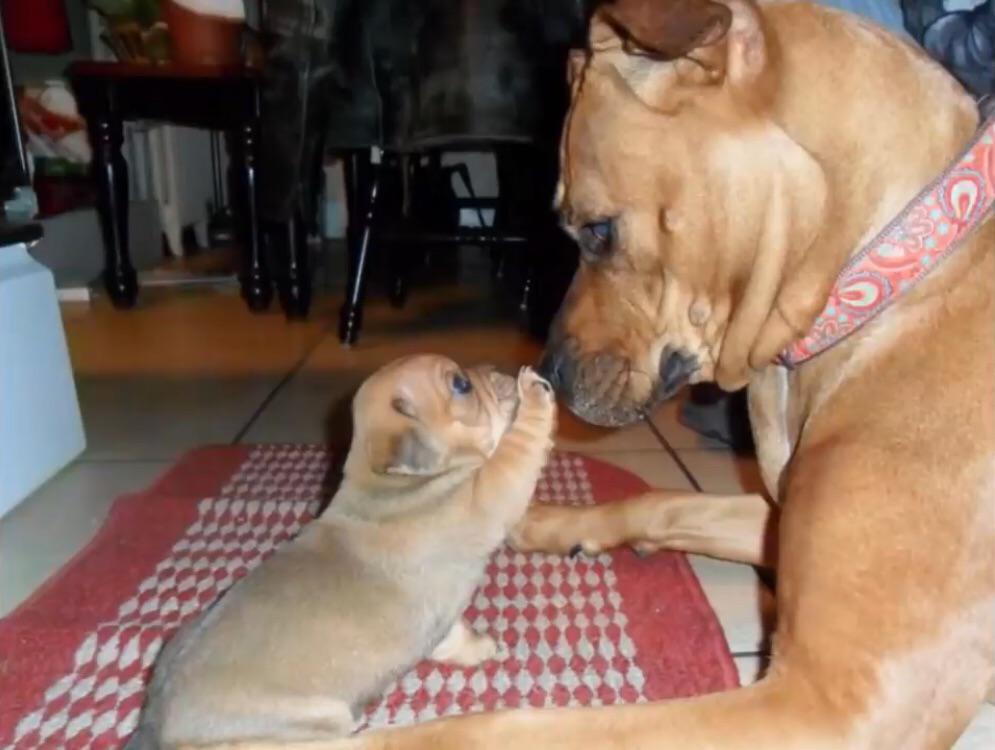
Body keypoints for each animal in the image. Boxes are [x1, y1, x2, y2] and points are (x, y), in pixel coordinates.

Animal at [122, 356, 552, 748]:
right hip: (315, 719)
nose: (493, 368)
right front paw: (536, 396)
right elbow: (518, 449)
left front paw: (478, 648)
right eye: (461, 384)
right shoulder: (491, 492)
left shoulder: (440, 615)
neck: (391, 486)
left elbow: (453, 635)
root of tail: (155, 730)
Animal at [193, 1, 988, 750]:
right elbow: (661, 501)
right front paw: (550, 521)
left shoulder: (835, 702)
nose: (546, 372)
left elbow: (508, 725)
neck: (884, 271)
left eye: (598, 231)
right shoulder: (774, 519)